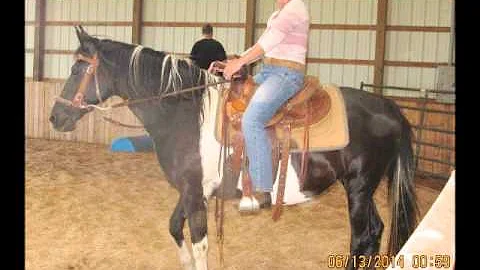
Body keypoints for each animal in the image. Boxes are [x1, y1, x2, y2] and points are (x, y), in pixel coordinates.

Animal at [47, 26, 416, 270]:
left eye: (78, 68)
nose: (55, 116)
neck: (185, 113)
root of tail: (389, 107)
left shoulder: (194, 193)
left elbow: (200, 244)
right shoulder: (193, 189)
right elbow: (174, 228)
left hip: (359, 186)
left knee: (362, 236)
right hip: (362, 188)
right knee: (375, 232)